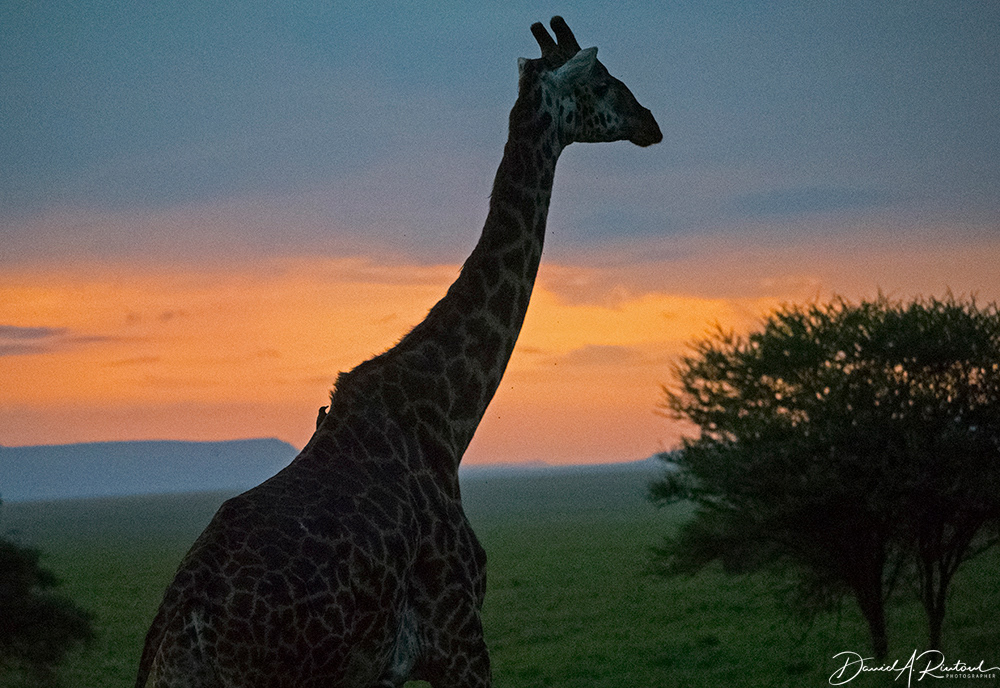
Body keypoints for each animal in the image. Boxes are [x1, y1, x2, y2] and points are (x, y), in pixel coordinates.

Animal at [136, 16, 661, 688]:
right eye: (599, 79)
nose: (650, 121)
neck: (446, 415)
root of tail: (176, 639)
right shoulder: (457, 635)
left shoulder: (388, 668)